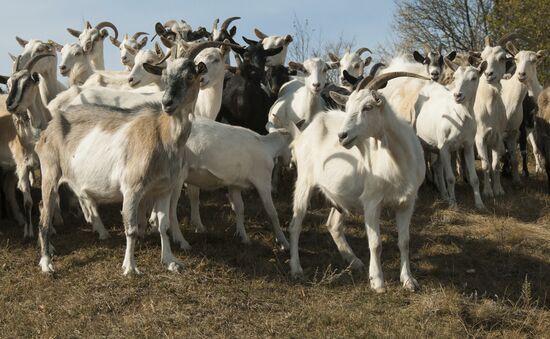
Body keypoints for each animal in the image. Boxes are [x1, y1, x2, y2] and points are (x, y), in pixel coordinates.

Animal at [288, 71, 432, 292]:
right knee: (295, 225)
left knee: (333, 225)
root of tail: (303, 133)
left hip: (340, 196)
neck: (398, 159)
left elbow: (405, 242)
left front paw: (408, 280)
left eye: (368, 107)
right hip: (304, 181)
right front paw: (378, 282)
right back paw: (296, 269)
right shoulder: (372, 201)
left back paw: (354, 261)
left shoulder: (407, 202)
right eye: (346, 108)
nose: (342, 136)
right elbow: (376, 243)